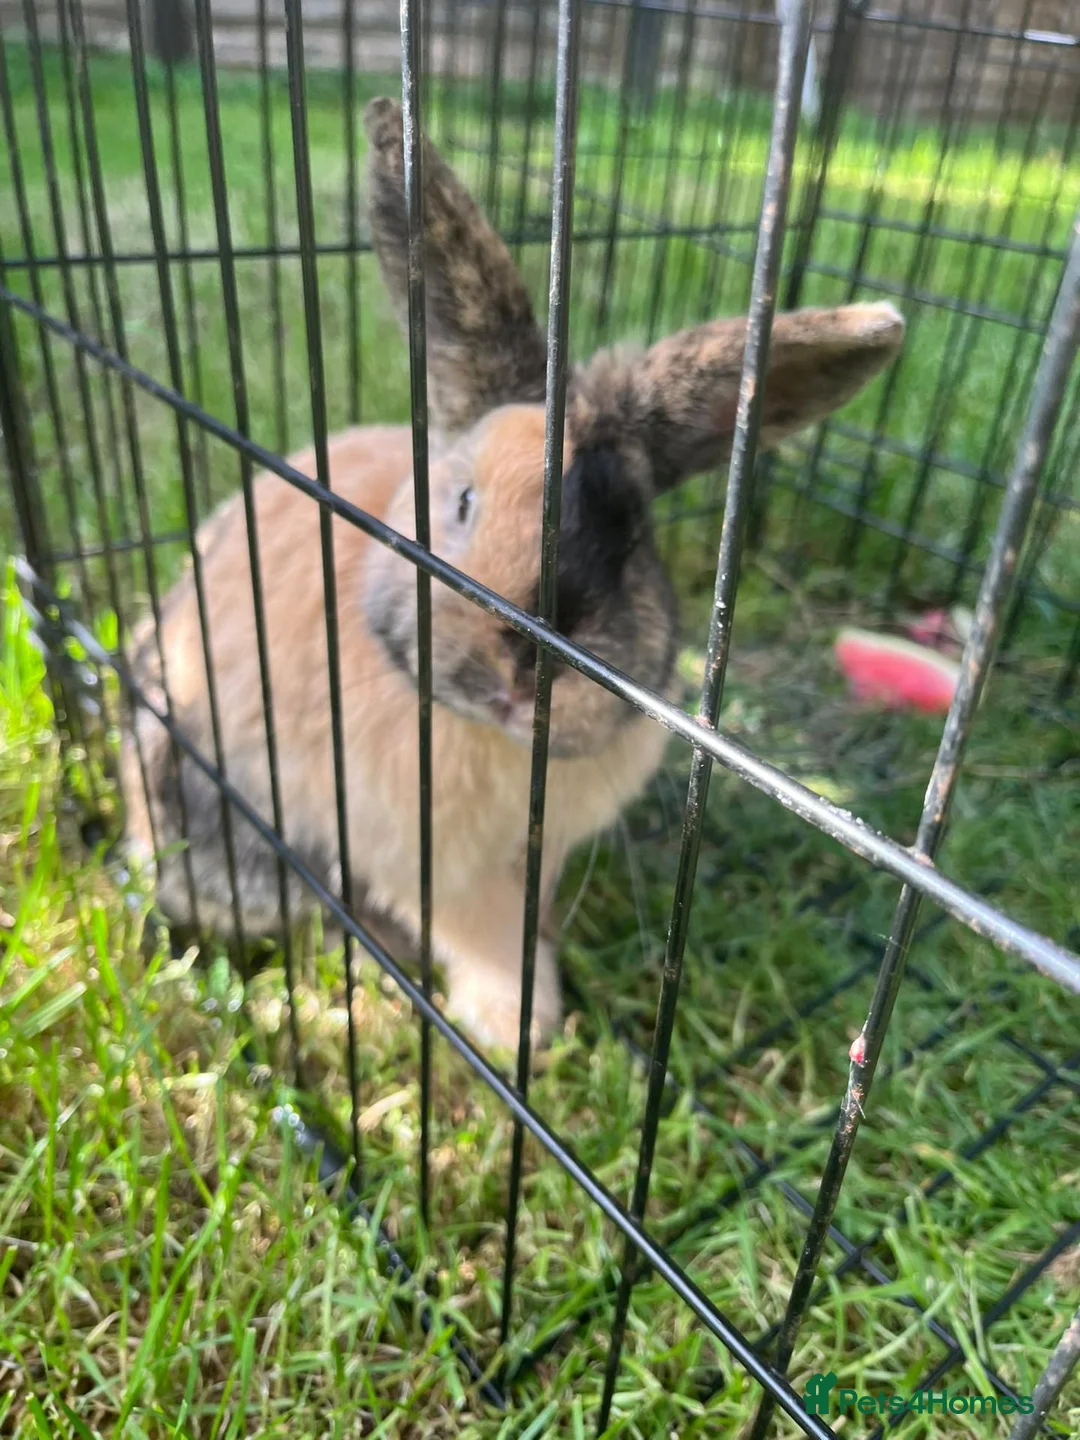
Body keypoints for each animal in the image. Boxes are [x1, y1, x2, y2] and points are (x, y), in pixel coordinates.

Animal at [120, 96, 904, 1054]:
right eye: (460, 502)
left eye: (631, 533)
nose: (518, 668)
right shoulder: (422, 861)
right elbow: (485, 940)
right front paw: (517, 1029)